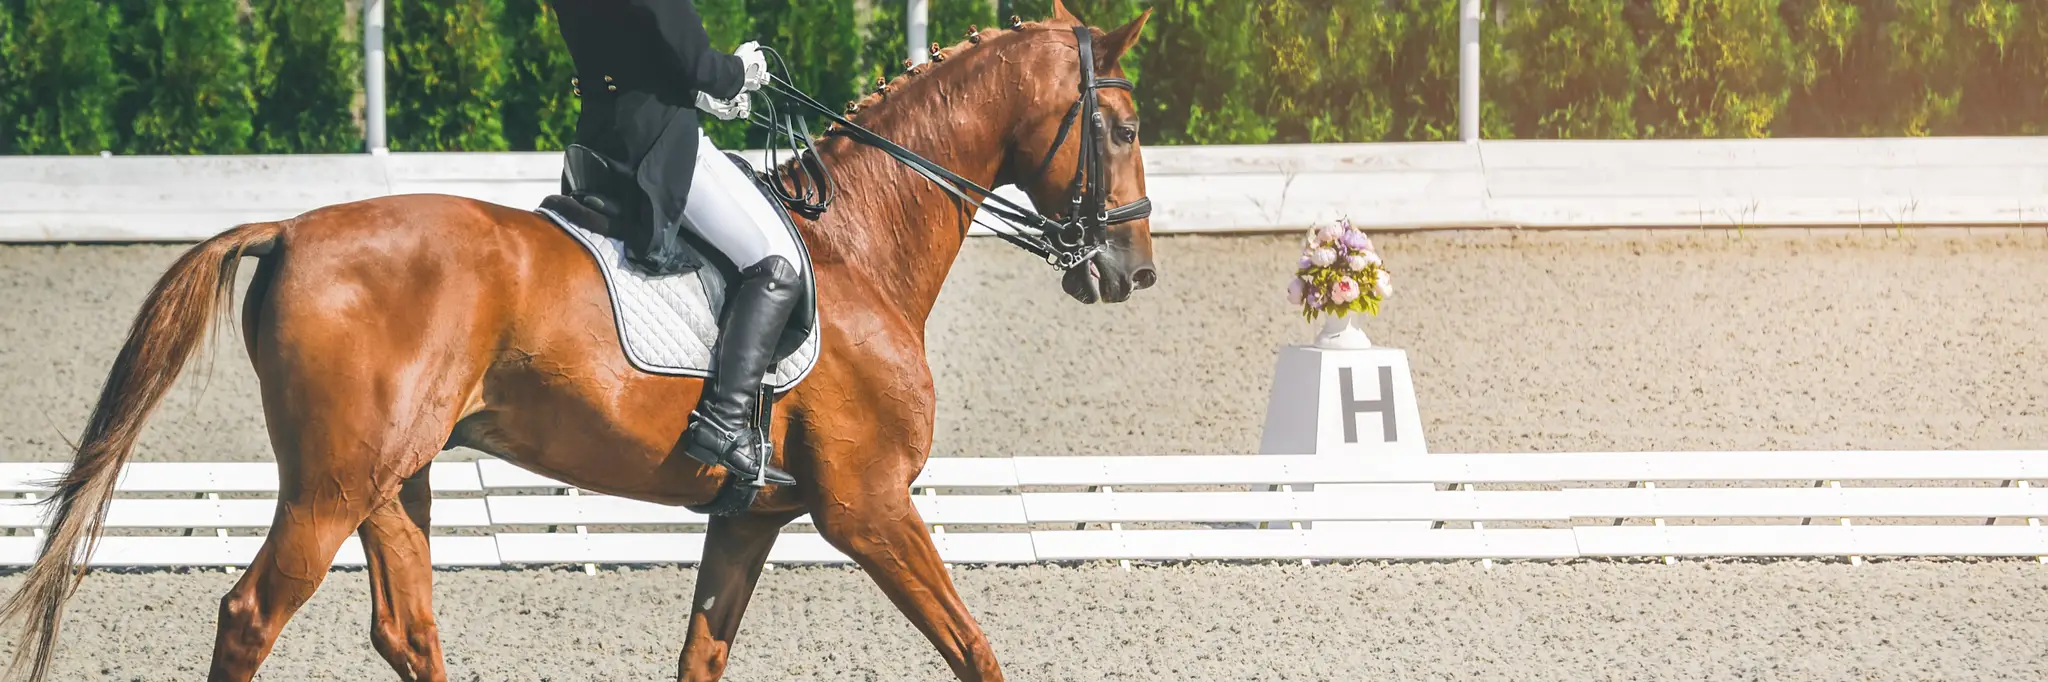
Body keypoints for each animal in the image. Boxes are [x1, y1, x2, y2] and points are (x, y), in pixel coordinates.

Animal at [0, 5, 1156, 682]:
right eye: (1123, 126)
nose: (1130, 273)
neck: (862, 244)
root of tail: (289, 228)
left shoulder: (752, 516)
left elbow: (701, 657)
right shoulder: (869, 508)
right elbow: (974, 650)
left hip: (390, 476)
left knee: (406, 629)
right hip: (329, 482)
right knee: (251, 614)